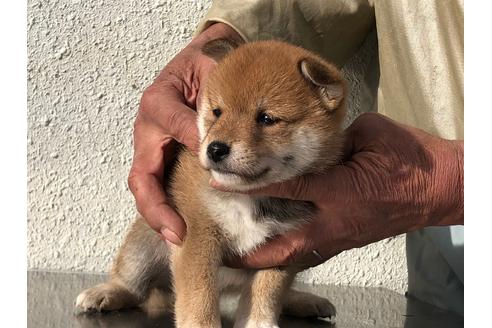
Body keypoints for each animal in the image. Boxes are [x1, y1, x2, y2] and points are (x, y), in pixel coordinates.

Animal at [76, 39, 346, 328]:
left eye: (266, 118)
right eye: (217, 112)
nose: (216, 149)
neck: (247, 196)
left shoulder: (283, 248)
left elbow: (267, 290)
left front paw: (259, 322)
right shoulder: (196, 234)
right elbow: (199, 294)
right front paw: (201, 323)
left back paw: (302, 300)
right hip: (144, 246)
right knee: (134, 284)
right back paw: (106, 293)